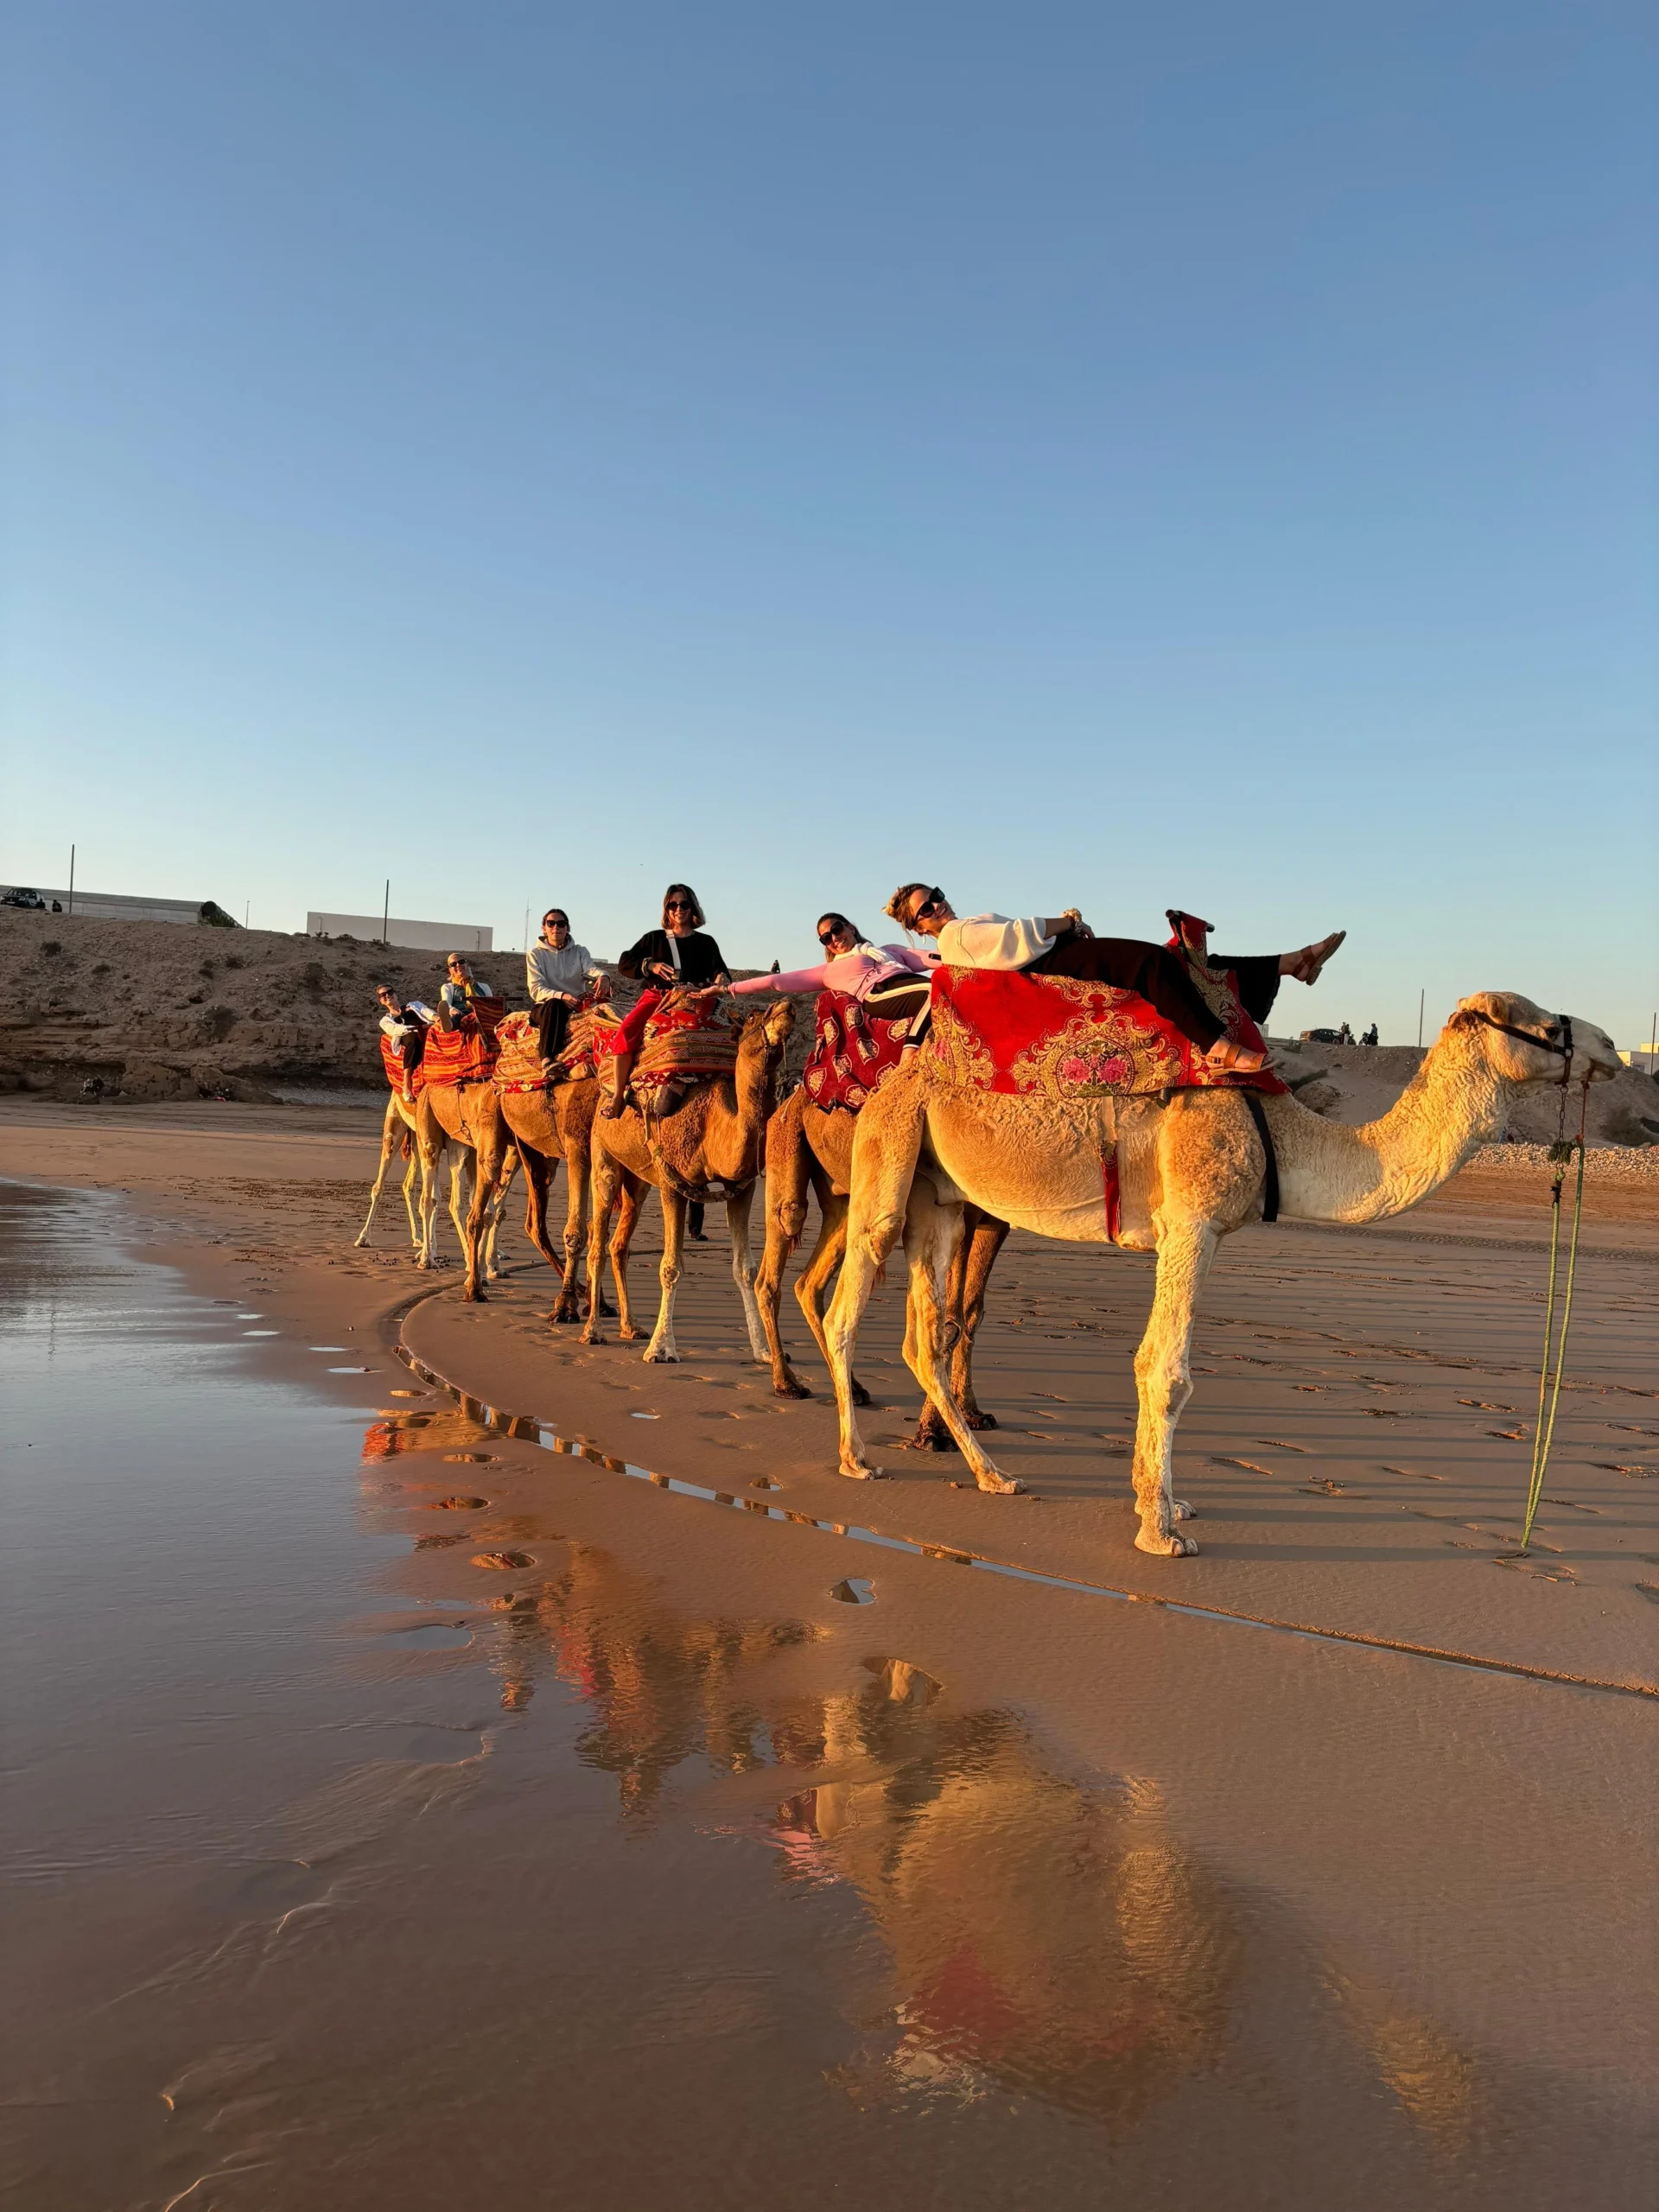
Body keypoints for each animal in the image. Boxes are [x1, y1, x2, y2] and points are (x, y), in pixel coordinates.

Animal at [583, 998, 794, 1363]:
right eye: (755, 1015)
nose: (786, 1006)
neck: (713, 1125)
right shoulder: (673, 1183)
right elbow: (670, 1267)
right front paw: (662, 1348)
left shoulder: (742, 1186)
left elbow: (745, 1269)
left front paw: (763, 1351)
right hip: (603, 1155)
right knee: (597, 1242)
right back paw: (593, 1331)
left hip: (638, 1181)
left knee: (619, 1244)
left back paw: (631, 1326)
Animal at [754, 1085, 1011, 1447]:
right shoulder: (956, 1208)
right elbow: (950, 1319)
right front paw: (931, 1432)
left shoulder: (996, 1220)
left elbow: (971, 1312)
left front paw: (973, 1413)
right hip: (787, 1147)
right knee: (782, 1237)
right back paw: (787, 1383)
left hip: (845, 1195)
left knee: (810, 1282)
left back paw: (852, 1387)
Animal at [822, 990, 1620, 1554]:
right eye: (1537, 1021)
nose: (1610, 1045)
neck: (1284, 1136)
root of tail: (888, 1080)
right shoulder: (1193, 1225)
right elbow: (1165, 1369)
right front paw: (1163, 1532)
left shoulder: (1188, 1233)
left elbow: (1153, 1363)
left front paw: (1163, 1501)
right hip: (889, 1155)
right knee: (846, 1303)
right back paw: (856, 1461)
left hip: (939, 1197)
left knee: (923, 1337)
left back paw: (993, 1474)